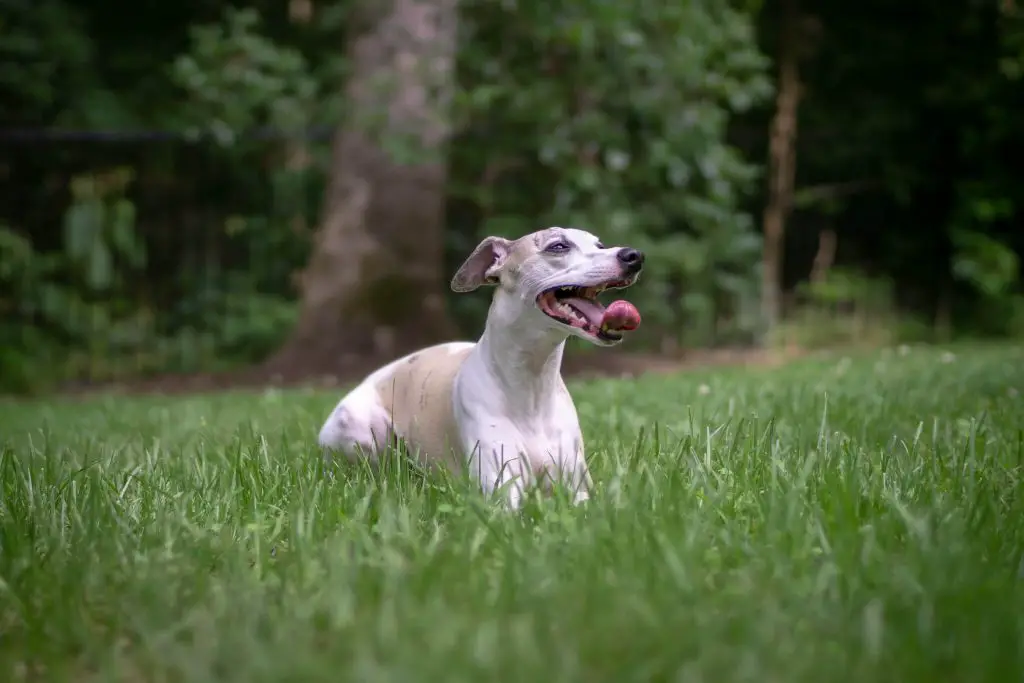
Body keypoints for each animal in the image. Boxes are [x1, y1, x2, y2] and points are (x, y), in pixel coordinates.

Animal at [315, 227, 643, 509]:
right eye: (558, 246)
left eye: (599, 245)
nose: (633, 256)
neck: (531, 386)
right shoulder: (501, 489)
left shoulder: (577, 486)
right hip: (363, 429)